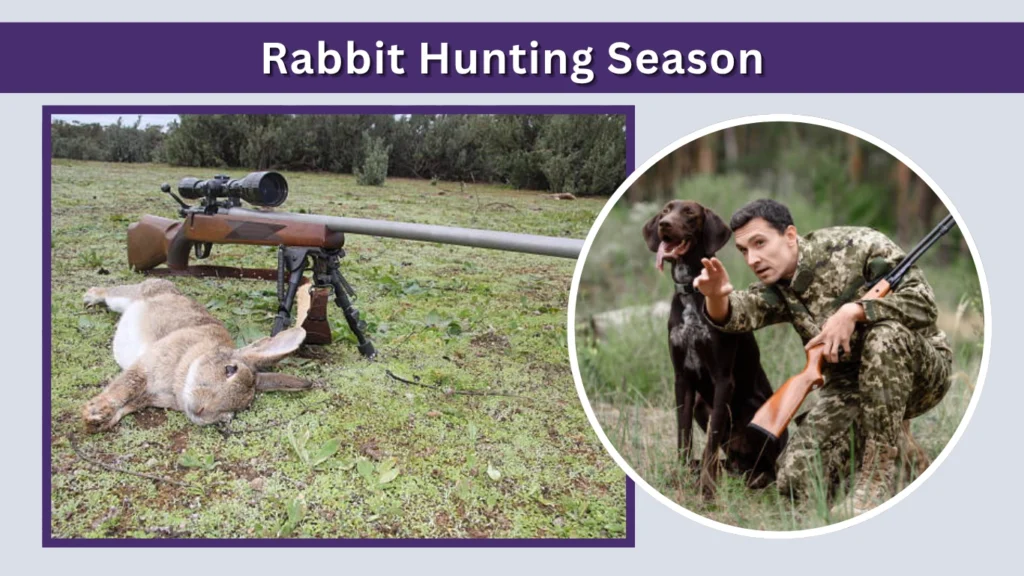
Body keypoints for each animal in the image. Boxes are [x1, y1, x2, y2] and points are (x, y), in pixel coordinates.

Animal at [80, 278, 312, 432]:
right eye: (230, 369)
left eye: (240, 409)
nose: (202, 411)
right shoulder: (147, 366)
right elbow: (125, 386)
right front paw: (95, 411)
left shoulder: (147, 397)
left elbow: (128, 405)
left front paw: (99, 421)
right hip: (125, 297)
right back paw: (91, 296)